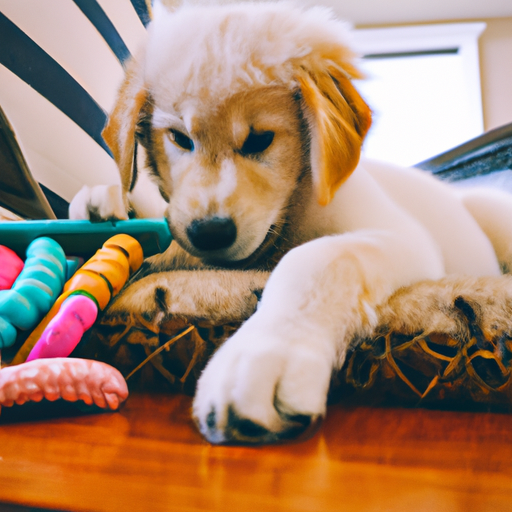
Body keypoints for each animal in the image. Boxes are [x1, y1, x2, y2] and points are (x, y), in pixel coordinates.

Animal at [69, 0, 512, 442]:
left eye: (260, 139)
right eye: (179, 138)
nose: (209, 233)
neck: (289, 214)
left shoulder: (407, 238)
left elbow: (319, 257)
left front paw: (268, 352)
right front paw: (107, 204)